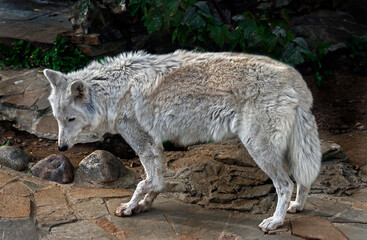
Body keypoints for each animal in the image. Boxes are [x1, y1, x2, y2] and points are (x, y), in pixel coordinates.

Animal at [44, 50, 322, 231]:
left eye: (71, 119)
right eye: (58, 119)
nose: (61, 147)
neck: (114, 94)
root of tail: (296, 79)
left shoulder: (143, 142)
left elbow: (145, 181)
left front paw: (130, 206)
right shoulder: (155, 144)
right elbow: (156, 182)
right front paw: (145, 204)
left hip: (260, 149)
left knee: (285, 184)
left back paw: (276, 221)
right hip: (287, 150)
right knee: (303, 178)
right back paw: (297, 206)